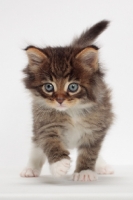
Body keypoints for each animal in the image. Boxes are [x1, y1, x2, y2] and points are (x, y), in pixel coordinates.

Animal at [20, 20, 114, 181]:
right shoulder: (46, 125)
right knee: (36, 144)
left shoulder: (96, 128)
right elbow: (50, 143)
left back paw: (102, 165)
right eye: (49, 87)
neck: (72, 111)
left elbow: (90, 151)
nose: (59, 100)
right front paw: (59, 165)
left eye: (73, 86)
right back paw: (30, 168)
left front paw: (85, 172)